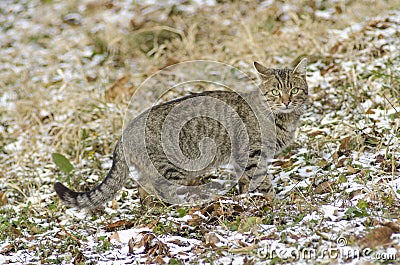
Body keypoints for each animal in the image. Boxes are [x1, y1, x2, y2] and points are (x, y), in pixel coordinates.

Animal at [54, 58, 308, 207]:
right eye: (276, 92)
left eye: (294, 90)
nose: (286, 101)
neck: (281, 118)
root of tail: (124, 133)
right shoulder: (252, 154)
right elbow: (262, 182)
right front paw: (272, 202)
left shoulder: (241, 159)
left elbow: (245, 183)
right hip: (171, 167)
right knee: (162, 189)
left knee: (144, 190)